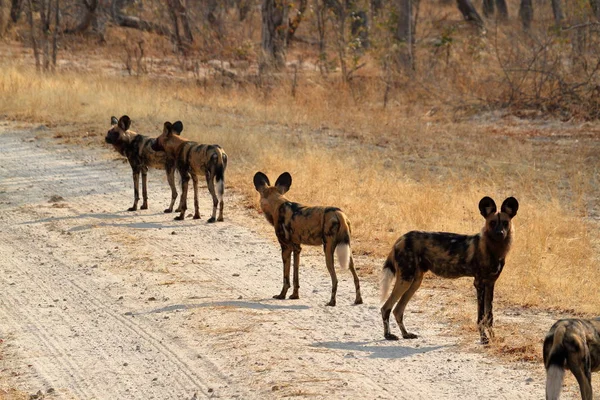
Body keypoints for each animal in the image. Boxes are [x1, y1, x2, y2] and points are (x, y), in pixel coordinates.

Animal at [252, 171, 364, 306]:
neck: (278, 204)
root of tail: (338, 213)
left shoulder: (286, 248)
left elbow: (286, 277)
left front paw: (281, 295)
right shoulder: (297, 248)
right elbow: (295, 276)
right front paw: (295, 296)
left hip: (328, 250)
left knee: (335, 279)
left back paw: (331, 302)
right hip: (348, 251)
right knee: (356, 277)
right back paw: (358, 300)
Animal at [382, 197, 516, 344]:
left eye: (505, 223)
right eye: (492, 223)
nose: (500, 233)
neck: (493, 249)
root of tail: (401, 238)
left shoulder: (490, 283)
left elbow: (489, 315)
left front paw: (494, 338)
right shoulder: (479, 284)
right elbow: (481, 316)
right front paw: (484, 339)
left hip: (415, 281)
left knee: (398, 310)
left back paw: (405, 334)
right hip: (406, 279)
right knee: (386, 308)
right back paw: (388, 335)